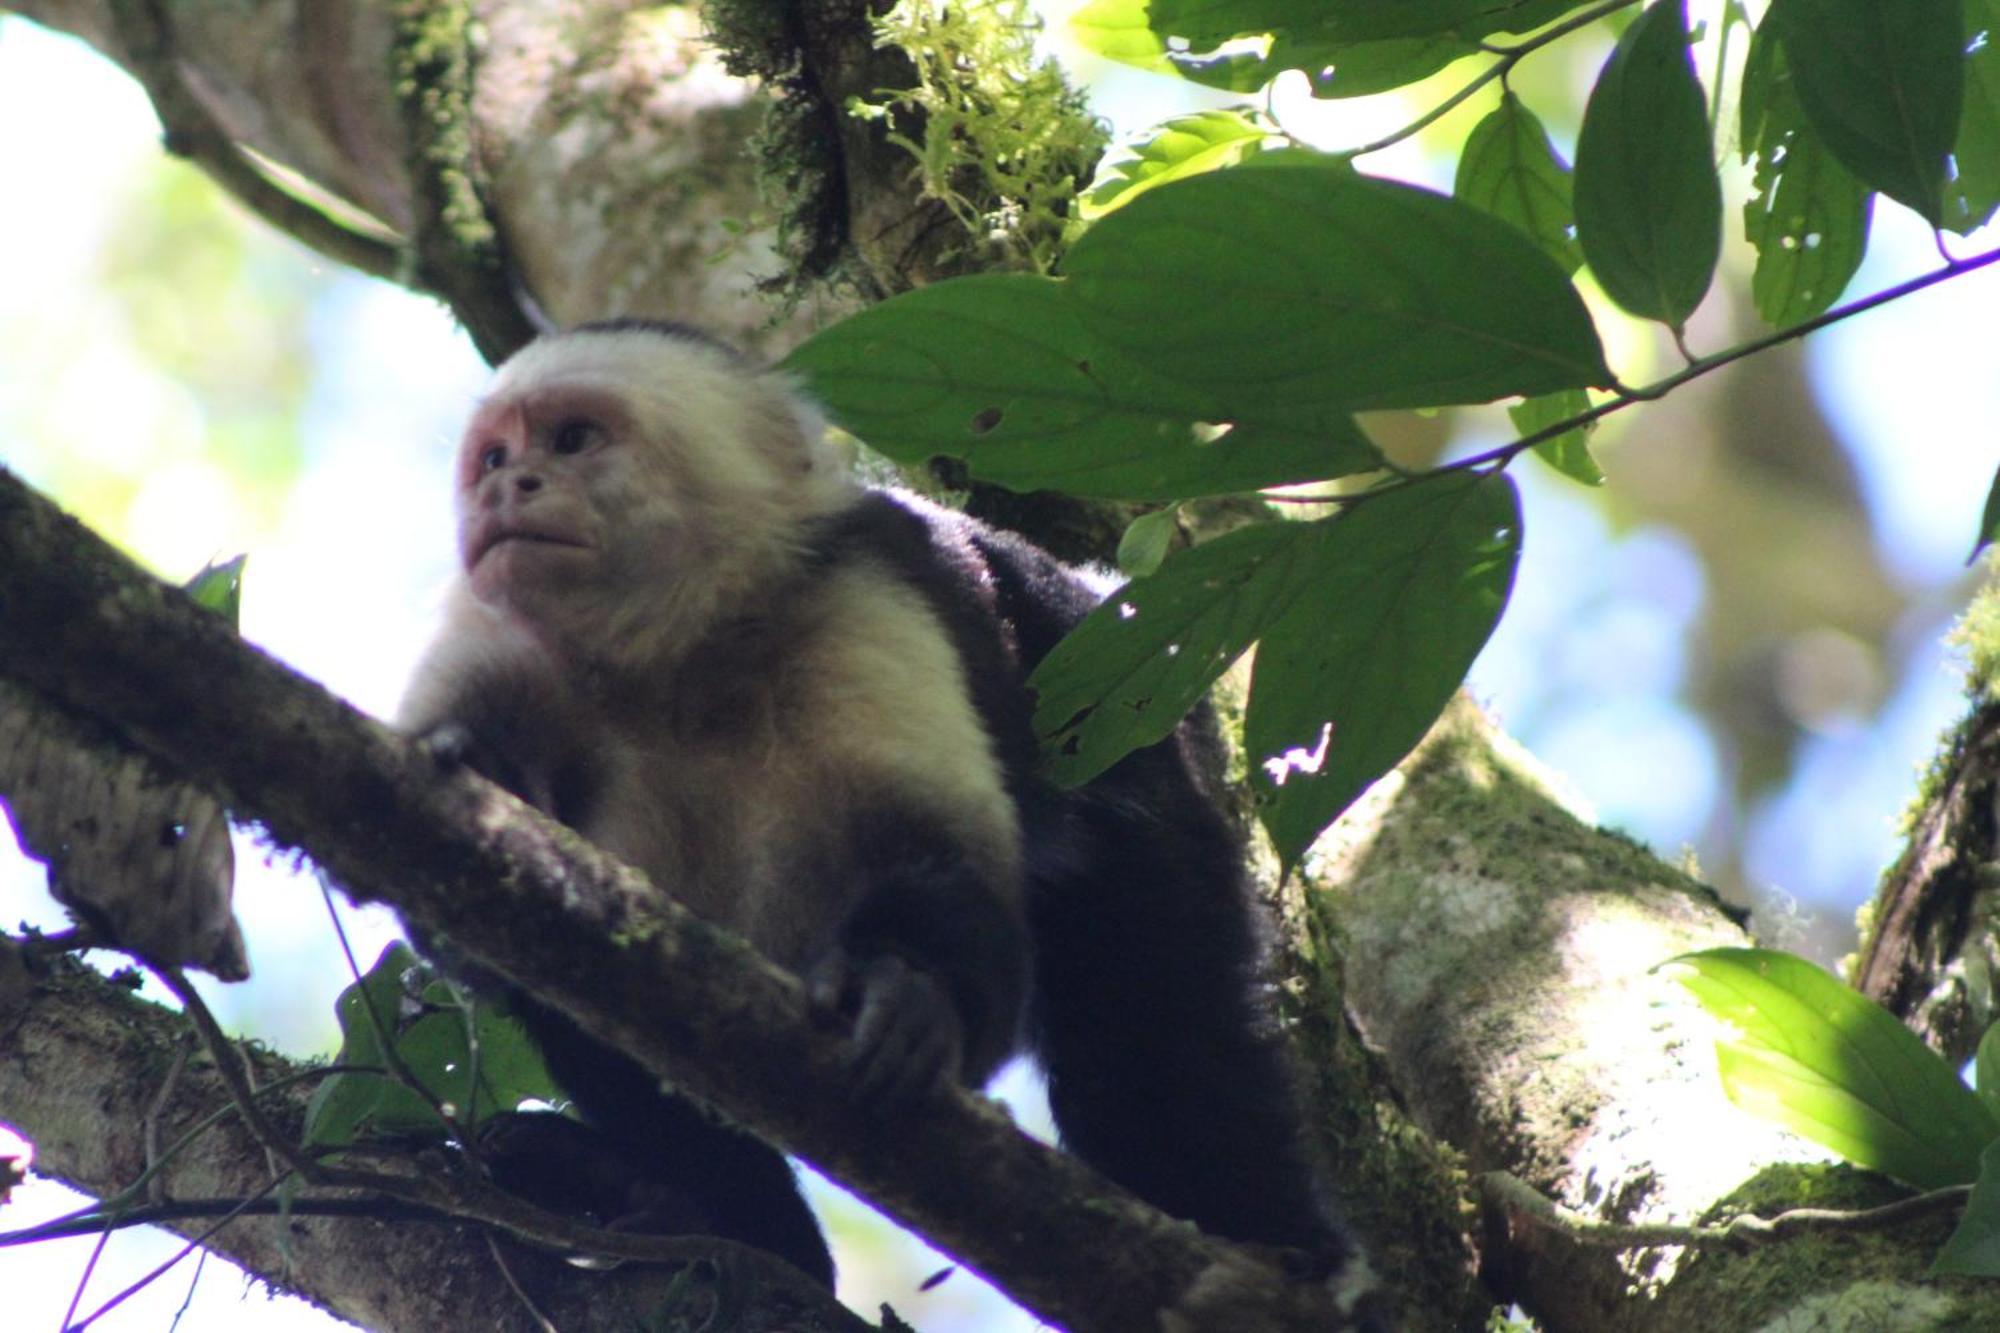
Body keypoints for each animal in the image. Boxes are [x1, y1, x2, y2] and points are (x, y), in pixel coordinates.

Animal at [406, 320, 1376, 1304]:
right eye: (493, 457)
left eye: (572, 440)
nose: (507, 487)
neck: (680, 659)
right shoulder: (488, 632)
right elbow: (503, 933)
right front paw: (476, 783)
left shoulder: (866, 595)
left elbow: (943, 859)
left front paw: (908, 987)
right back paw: (720, 1217)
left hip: (1139, 749)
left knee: (1154, 1016)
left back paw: (1274, 1241)